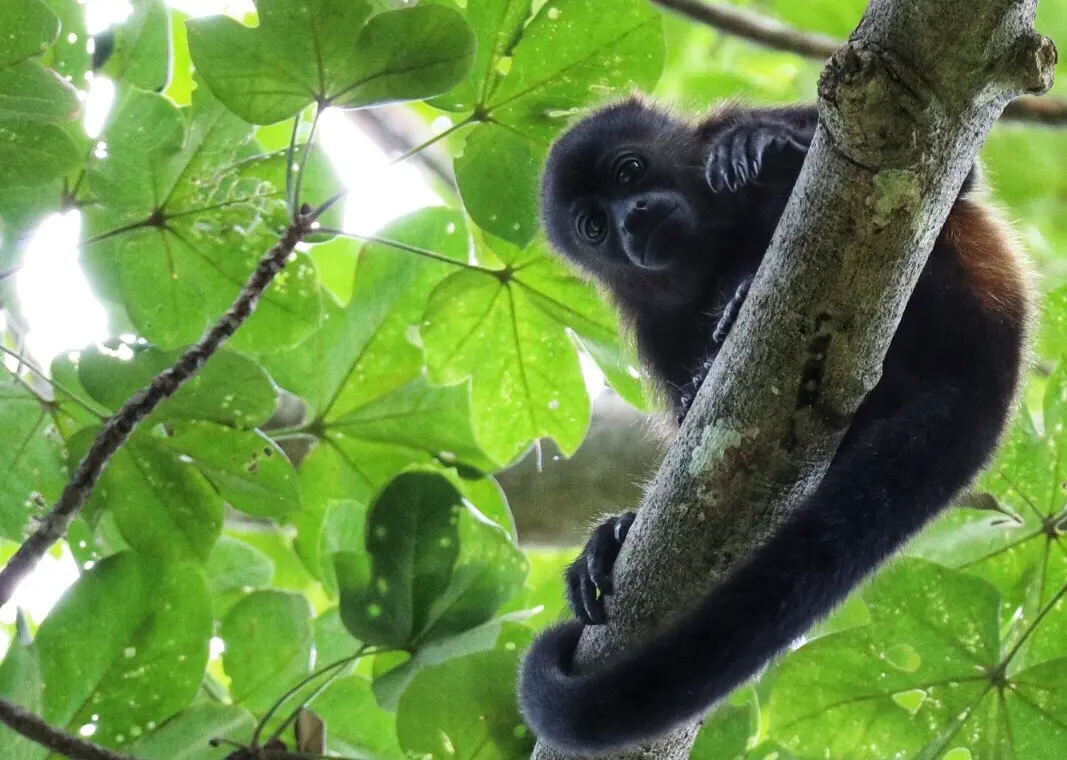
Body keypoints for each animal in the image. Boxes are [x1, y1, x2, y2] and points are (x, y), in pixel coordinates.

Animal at [518, 97, 1032, 754]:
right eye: (593, 227)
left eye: (629, 171)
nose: (631, 219)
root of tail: (995, 374)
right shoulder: (652, 324)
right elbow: (686, 421)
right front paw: (615, 531)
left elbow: (954, 179)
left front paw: (757, 145)